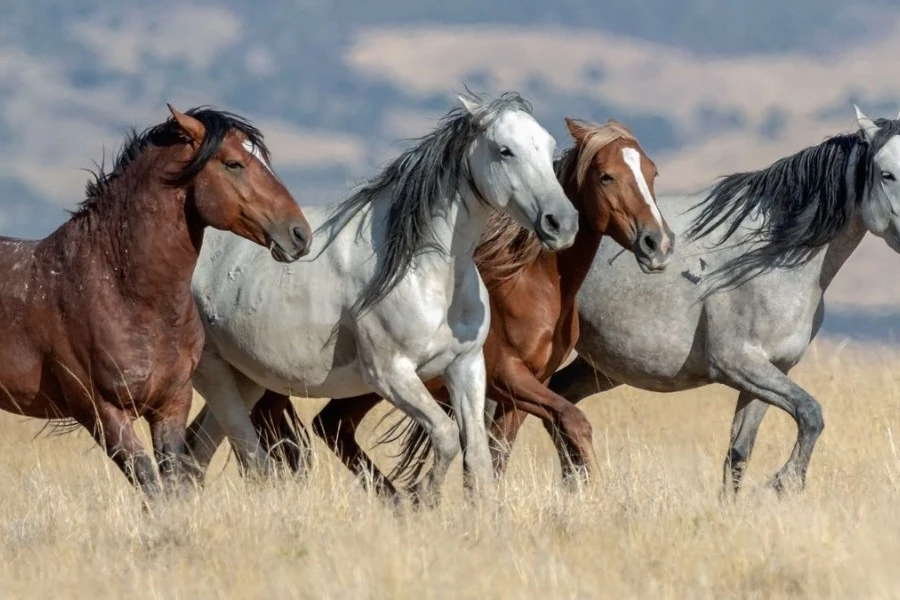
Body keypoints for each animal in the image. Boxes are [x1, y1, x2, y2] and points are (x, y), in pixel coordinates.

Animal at [0, 105, 312, 494]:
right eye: (234, 163)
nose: (300, 234)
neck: (123, 293)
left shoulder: (171, 404)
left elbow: (173, 482)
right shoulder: (102, 412)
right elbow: (150, 485)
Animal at [187, 90, 580, 502]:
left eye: (548, 146)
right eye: (505, 150)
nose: (562, 223)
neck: (425, 273)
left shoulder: (467, 367)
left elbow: (477, 458)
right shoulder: (391, 374)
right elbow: (445, 436)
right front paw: (423, 500)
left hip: (246, 378)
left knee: (196, 451)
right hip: (214, 373)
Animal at [216, 115, 676, 494]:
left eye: (652, 172)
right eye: (606, 176)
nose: (657, 243)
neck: (533, 284)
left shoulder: (522, 387)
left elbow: (496, 455)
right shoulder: (508, 376)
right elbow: (572, 421)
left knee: (330, 427)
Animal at [506, 106, 900, 492]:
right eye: (886, 174)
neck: (769, 257)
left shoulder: (773, 370)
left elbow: (739, 454)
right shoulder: (737, 364)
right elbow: (811, 413)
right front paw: (785, 483)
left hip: (600, 366)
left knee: (560, 402)